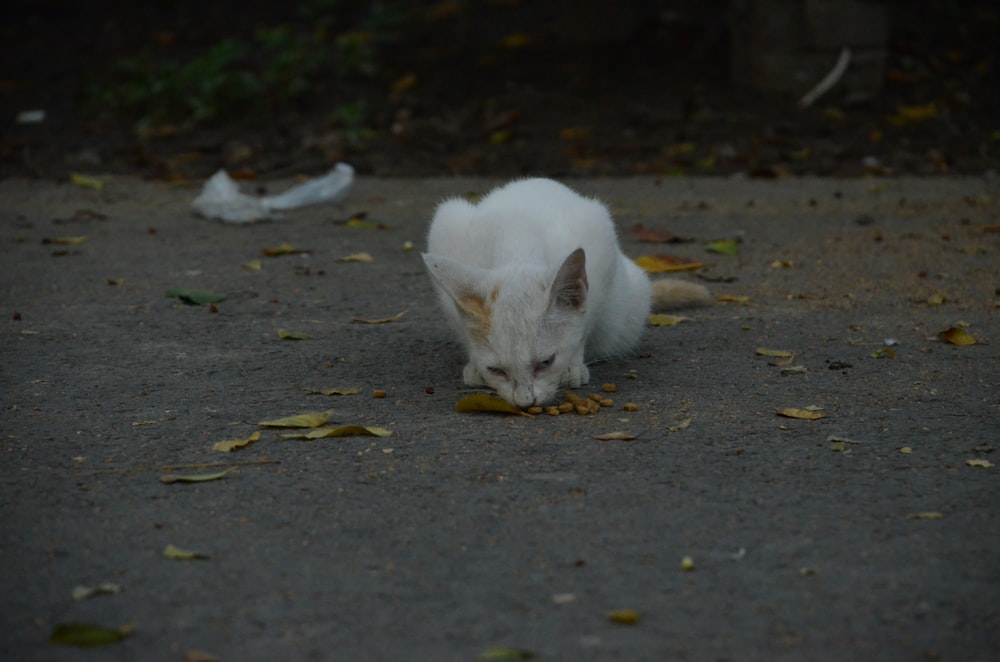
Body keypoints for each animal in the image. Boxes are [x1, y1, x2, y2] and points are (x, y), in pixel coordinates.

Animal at [422, 182, 712, 410]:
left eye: (546, 362)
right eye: (496, 370)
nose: (525, 402)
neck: (517, 241)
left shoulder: (600, 238)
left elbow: (586, 321)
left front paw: (573, 365)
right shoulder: (446, 231)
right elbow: (459, 323)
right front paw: (474, 364)